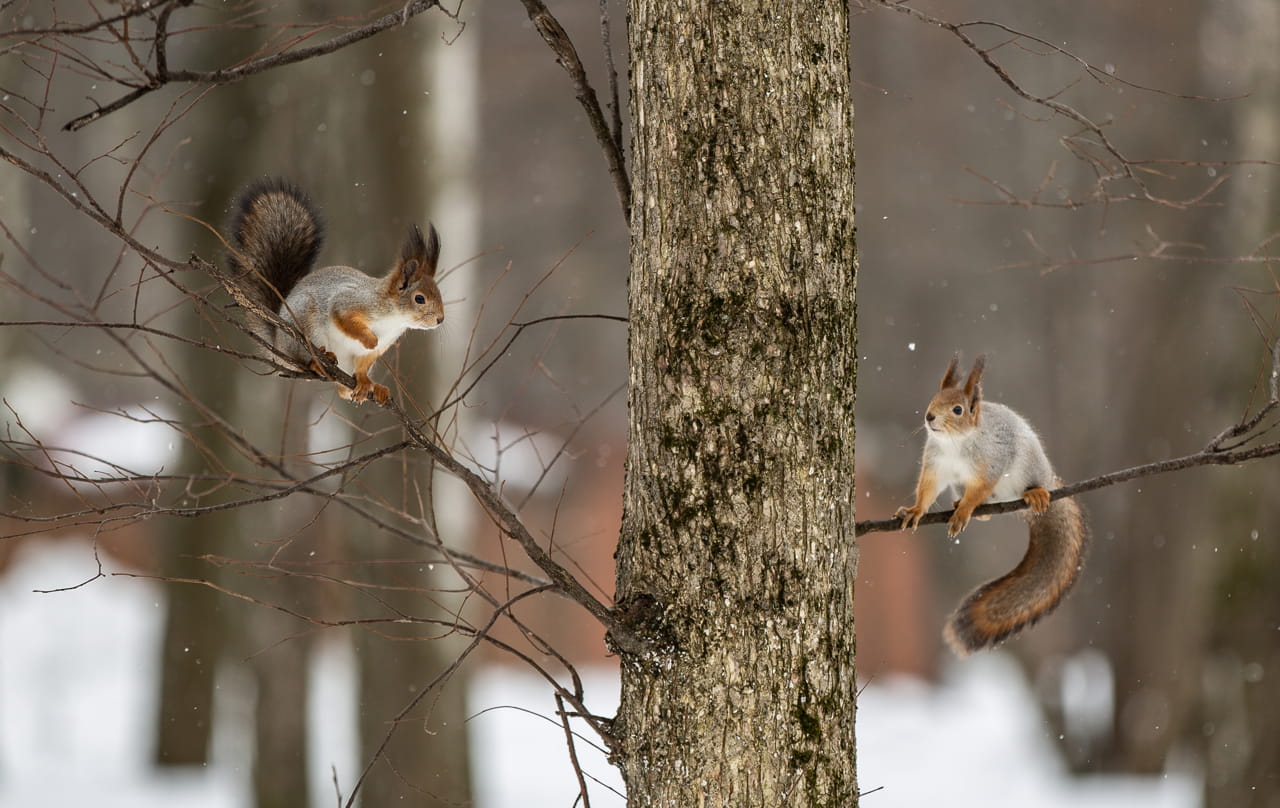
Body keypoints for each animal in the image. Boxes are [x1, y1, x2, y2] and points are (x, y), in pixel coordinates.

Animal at [217, 177, 442, 402]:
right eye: (419, 298)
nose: (440, 319)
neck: (394, 317)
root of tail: (278, 345)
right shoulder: (350, 302)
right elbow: (343, 318)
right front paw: (369, 339)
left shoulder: (376, 349)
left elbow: (362, 366)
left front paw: (365, 381)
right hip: (305, 327)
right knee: (303, 363)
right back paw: (318, 362)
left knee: (343, 390)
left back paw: (369, 387)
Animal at [896, 353, 1085, 655]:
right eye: (934, 398)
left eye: (958, 410)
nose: (929, 417)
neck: (954, 442)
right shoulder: (935, 465)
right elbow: (927, 490)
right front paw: (916, 511)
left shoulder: (991, 464)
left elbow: (979, 490)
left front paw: (963, 513)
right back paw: (974, 509)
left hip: (1030, 467)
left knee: (1027, 487)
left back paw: (1035, 494)